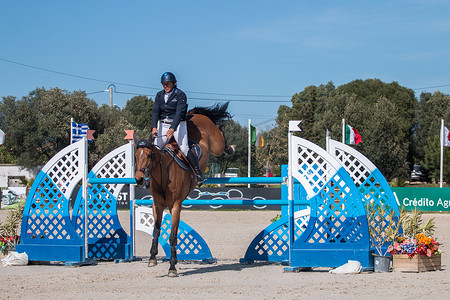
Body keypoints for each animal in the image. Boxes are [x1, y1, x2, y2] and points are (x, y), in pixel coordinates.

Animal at [134, 102, 234, 276]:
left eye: (149, 155)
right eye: (135, 156)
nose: (139, 178)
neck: (164, 175)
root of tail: (196, 116)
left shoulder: (175, 206)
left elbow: (173, 236)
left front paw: (172, 267)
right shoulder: (157, 205)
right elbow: (156, 230)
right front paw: (152, 258)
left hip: (216, 146)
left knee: (221, 140)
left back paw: (230, 146)